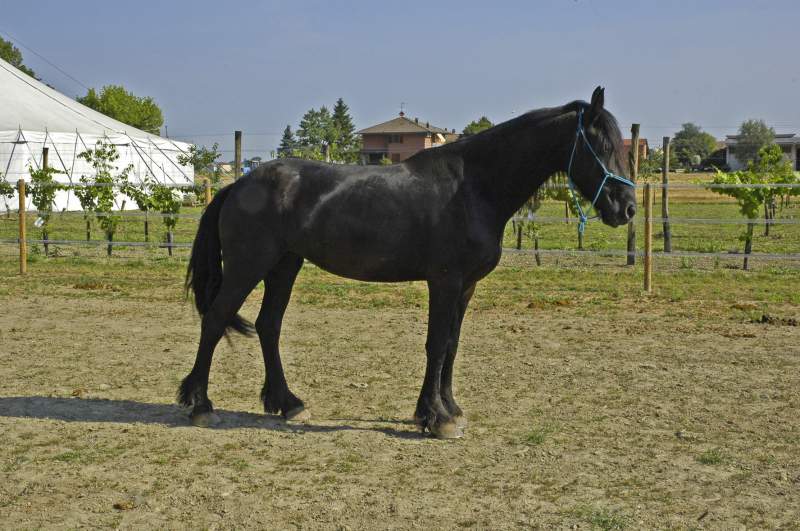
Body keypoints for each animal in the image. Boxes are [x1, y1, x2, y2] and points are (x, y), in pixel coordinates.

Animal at [180, 86, 636, 436]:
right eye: (601, 145)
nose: (627, 208)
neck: (474, 187)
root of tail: (239, 184)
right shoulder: (445, 281)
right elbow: (436, 344)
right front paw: (436, 419)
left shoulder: (466, 287)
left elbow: (451, 345)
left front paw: (446, 410)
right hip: (248, 266)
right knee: (216, 319)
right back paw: (201, 405)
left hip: (284, 266)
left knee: (268, 326)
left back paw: (289, 403)